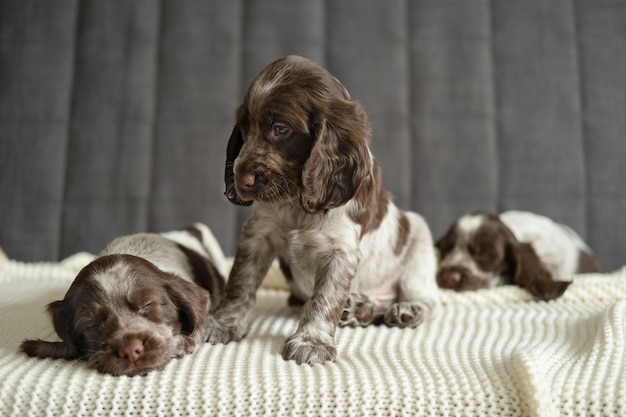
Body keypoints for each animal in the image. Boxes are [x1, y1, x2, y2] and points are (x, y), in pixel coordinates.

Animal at [206, 54, 438, 364]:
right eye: (243, 128)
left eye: (280, 129)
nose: (240, 179)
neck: (298, 203)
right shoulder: (257, 235)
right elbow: (240, 283)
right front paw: (223, 324)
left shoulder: (341, 251)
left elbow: (325, 298)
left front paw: (311, 342)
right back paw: (360, 309)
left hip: (418, 238)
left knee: (428, 298)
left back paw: (405, 309)